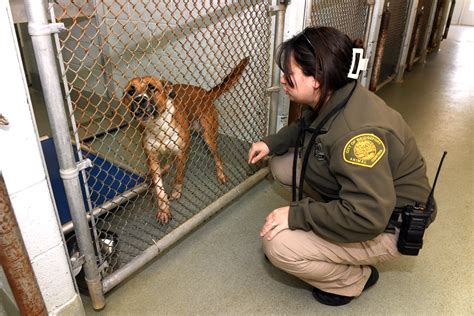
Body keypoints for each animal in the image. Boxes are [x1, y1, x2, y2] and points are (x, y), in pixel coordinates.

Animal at [121, 57, 248, 225]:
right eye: (131, 91)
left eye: (152, 88)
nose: (139, 99)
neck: (157, 125)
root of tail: (206, 93)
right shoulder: (152, 157)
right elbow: (159, 188)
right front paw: (163, 210)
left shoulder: (182, 152)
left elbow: (179, 175)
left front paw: (176, 192)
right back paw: (164, 169)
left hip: (208, 136)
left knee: (217, 155)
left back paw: (221, 174)